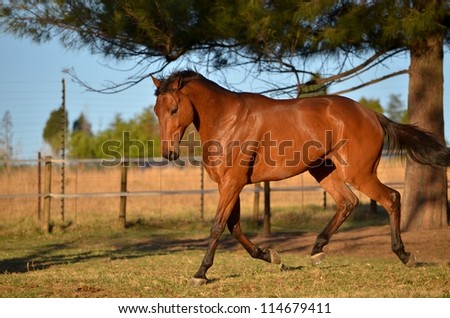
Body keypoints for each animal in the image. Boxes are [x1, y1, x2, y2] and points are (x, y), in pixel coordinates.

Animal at [153, 69, 448, 286]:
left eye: (174, 109)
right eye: (157, 110)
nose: (168, 153)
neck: (228, 120)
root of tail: (372, 115)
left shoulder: (232, 184)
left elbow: (217, 226)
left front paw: (200, 274)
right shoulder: (227, 186)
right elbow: (233, 227)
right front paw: (270, 255)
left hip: (359, 173)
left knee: (391, 198)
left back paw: (405, 255)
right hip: (324, 171)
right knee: (348, 202)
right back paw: (317, 251)